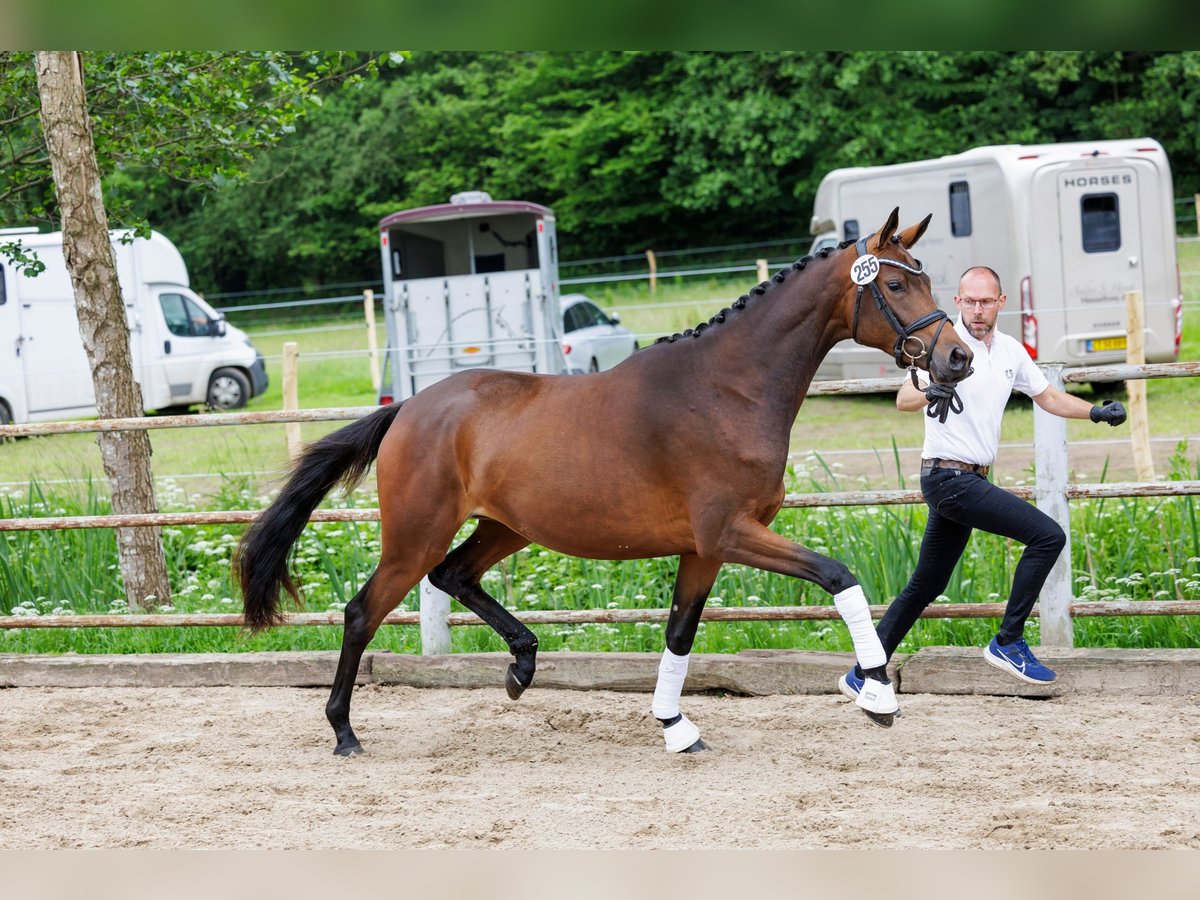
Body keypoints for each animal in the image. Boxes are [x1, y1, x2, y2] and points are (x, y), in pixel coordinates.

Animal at [236, 210, 974, 753]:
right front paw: (877, 694)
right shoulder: (730, 533)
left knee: (453, 575)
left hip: (505, 527)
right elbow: (839, 576)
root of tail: (409, 408)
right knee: (364, 610)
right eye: (898, 287)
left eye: (925, 280)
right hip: (417, 533)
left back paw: (522, 666)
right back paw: (344, 731)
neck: (728, 390)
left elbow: (679, 635)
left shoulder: (703, 550)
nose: (958, 358)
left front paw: (676, 728)